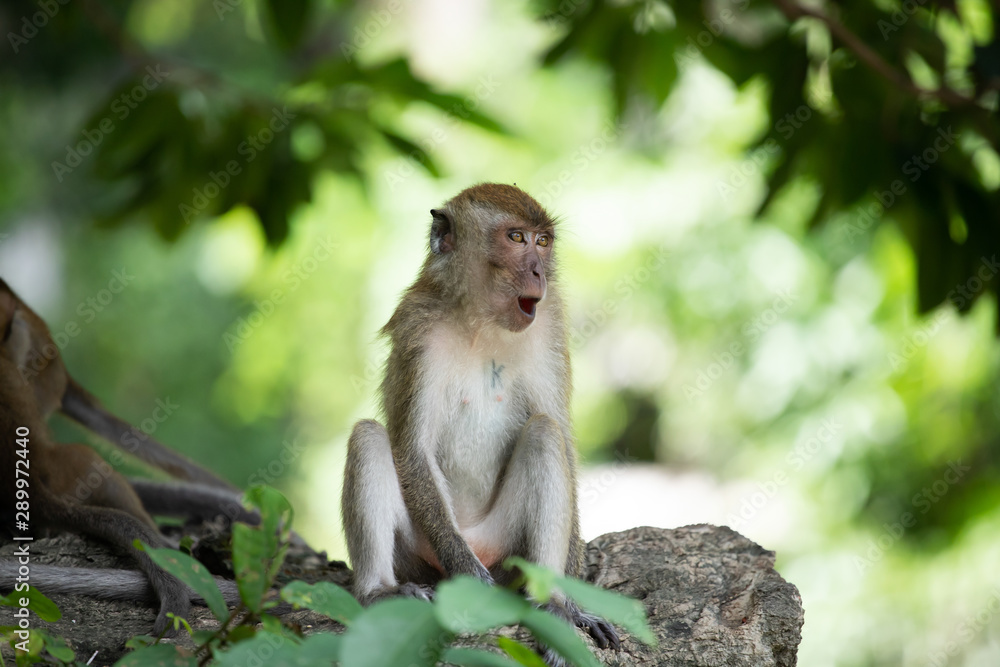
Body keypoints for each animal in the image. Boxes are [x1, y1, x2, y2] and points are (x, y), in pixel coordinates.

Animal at [341, 184, 620, 661]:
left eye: (543, 242)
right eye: (516, 238)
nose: (538, 272)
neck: (482, 321)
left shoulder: (549, 328)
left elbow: (561, 440)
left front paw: (576, 606)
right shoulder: (417, 329)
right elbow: (411, 447)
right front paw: (470, 577)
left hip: (508, 549)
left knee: (544, 434)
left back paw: (554, 607)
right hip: (419, 554)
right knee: (368, 437)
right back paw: (381, 591)